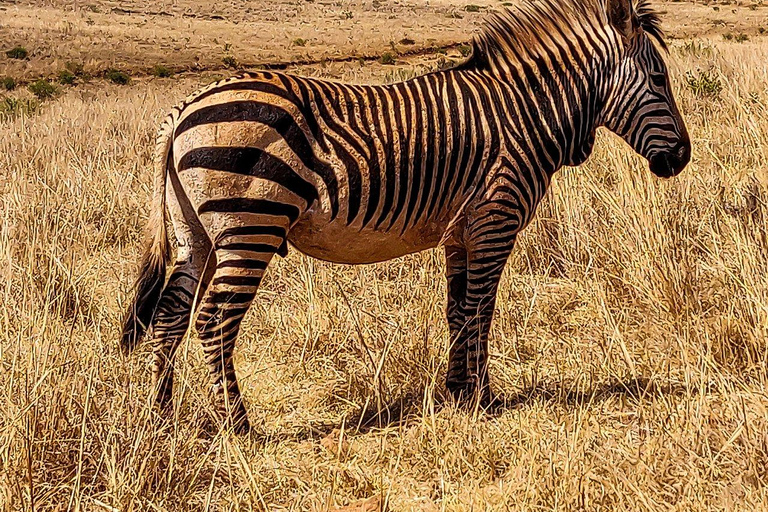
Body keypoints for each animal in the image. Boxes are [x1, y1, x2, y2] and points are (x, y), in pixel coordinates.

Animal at [118, 0, 688, 434]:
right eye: (660, 78)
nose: (682, 158)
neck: (526, 113)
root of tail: (184, 107)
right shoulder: (495, 220)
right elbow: (482, 311)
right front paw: (484, 400)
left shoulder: (463, 231)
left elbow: (458, 310)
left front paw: (458, 393)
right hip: (250, 225)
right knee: (215, 320)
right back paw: (238, 427)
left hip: (193, 232)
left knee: (170, 316)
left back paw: (160, 417)